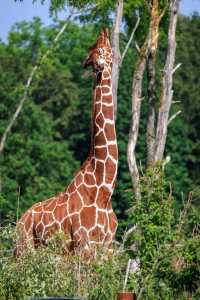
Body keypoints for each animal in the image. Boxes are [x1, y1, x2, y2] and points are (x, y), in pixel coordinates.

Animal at [16, 28, 119, 256]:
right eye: (94, 49)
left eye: (105, 49)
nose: (86, 61)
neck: (104, 190)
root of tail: (19, 221)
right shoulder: (83, 245)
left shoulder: (106, 248)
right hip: (23, 249)